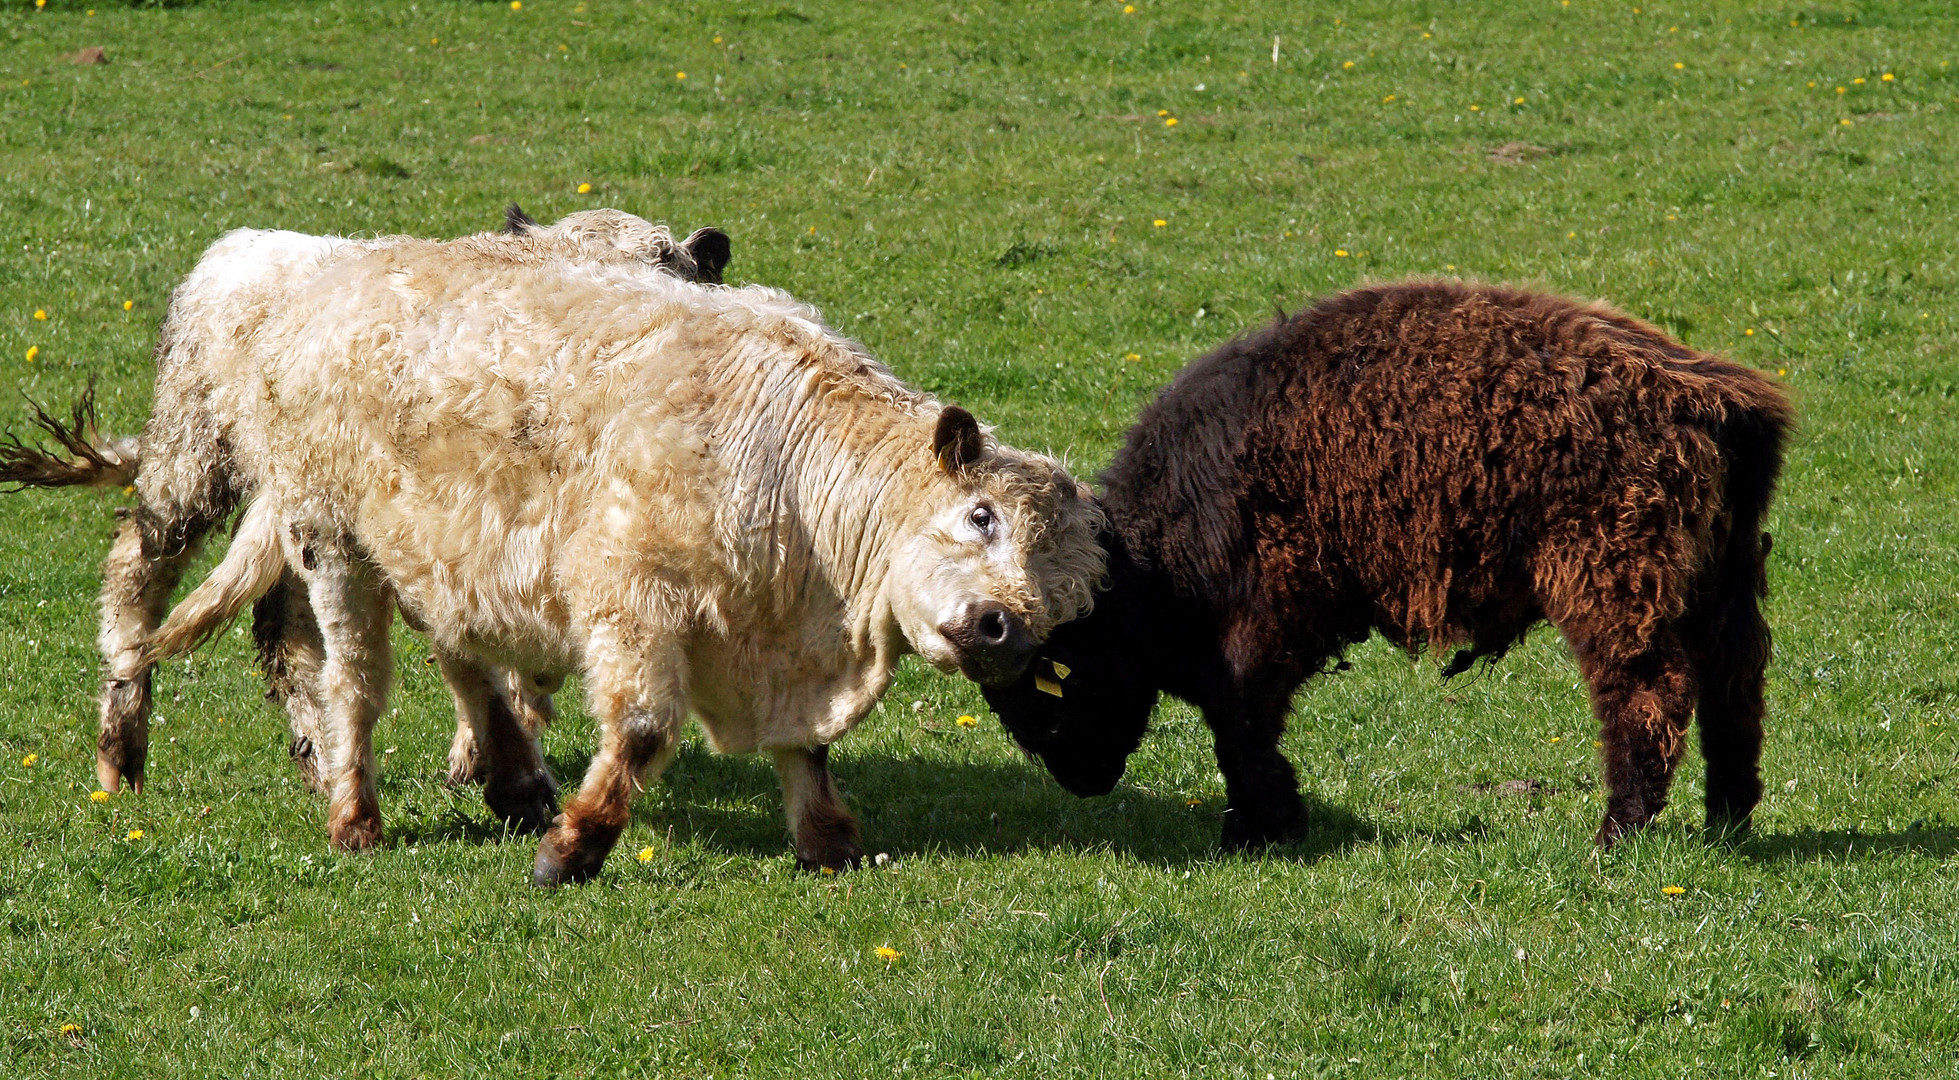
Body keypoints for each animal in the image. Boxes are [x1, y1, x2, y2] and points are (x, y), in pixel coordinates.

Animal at [130, 232, 1112, 882]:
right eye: (979, 515)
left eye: (1066, 605)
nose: (1006, 631)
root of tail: (320, 262)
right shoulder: (631, 598)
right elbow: (639, 729)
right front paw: (575, 845)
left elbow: (807, 751)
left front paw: (826, 839)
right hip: (330, 540)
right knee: (355, 687)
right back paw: (356, 814)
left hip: (441, 559)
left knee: (461, 653)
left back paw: (506, 774)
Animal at [987, 280, 1794, 854]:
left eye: (1049, 683)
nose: (1084, 782)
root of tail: (1714, 396)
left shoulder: (1264, 625)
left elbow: (1238, 720)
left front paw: (1260, 827)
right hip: (1719, 584)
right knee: (1735, 687)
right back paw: (1726, 819)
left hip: (1610, 586)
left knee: (1649, 694)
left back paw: (1615, 833)